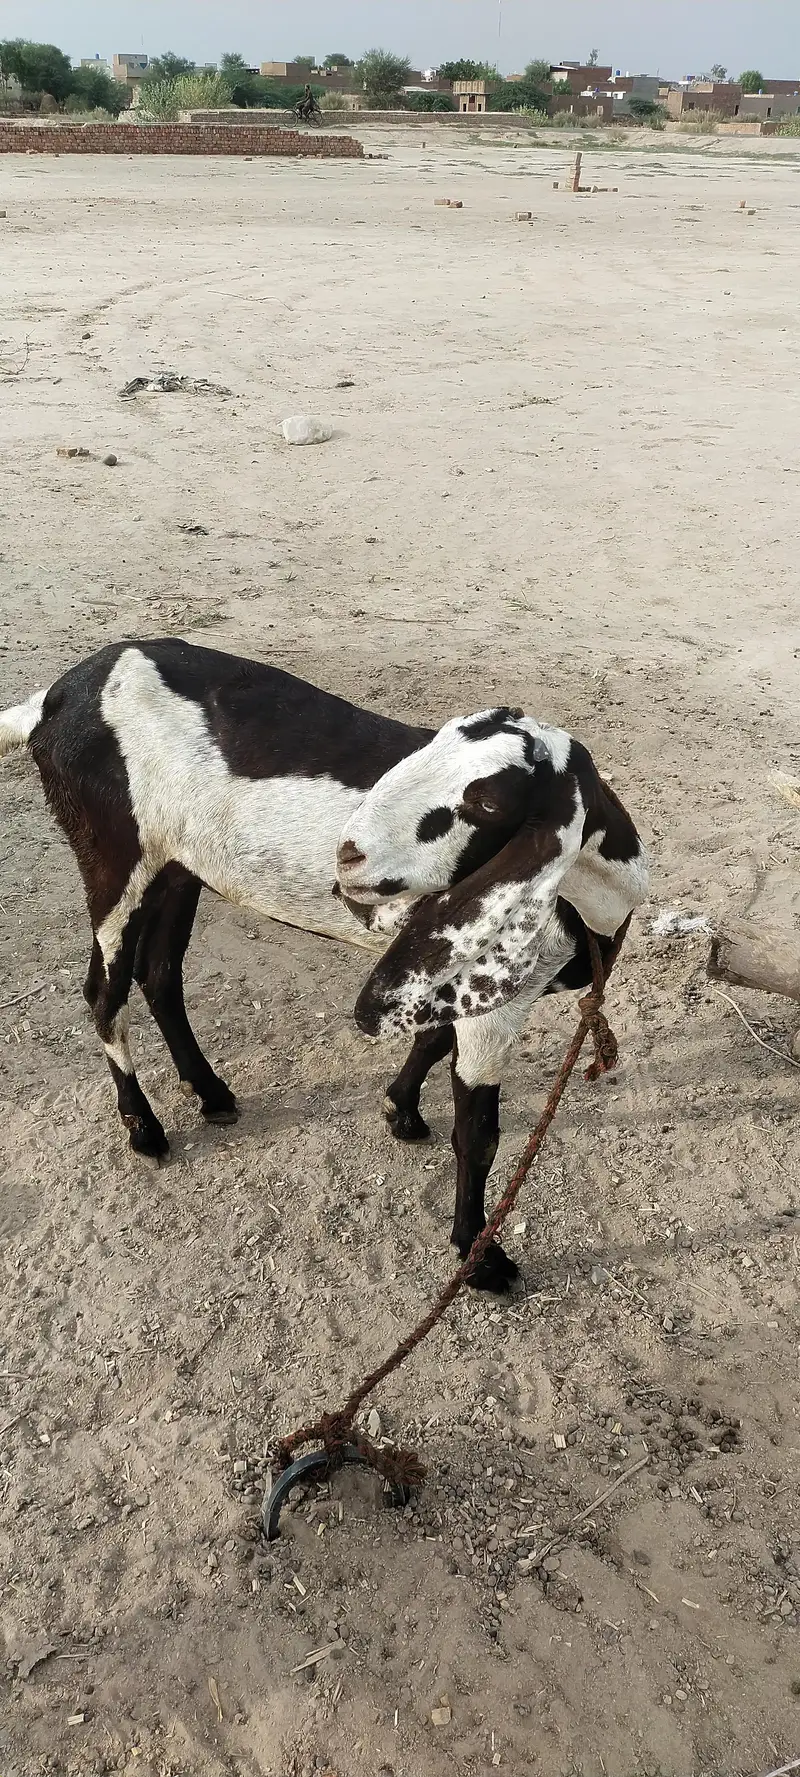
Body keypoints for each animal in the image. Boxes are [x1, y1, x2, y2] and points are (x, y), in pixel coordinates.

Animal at [0, 639, 649, 1292]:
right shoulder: (492, 1007)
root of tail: (55, 699)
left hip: (178, 866)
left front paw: (400, 1110)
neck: (589, 895)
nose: (349, 855)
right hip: (116, 854)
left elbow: (431, 1039)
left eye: (488, 801)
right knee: (104, 991)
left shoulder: (453, 970)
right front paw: (479, 1257)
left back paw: (211, 1093)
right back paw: (144, 1127)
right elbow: (479, 1135)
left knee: (159, 974)